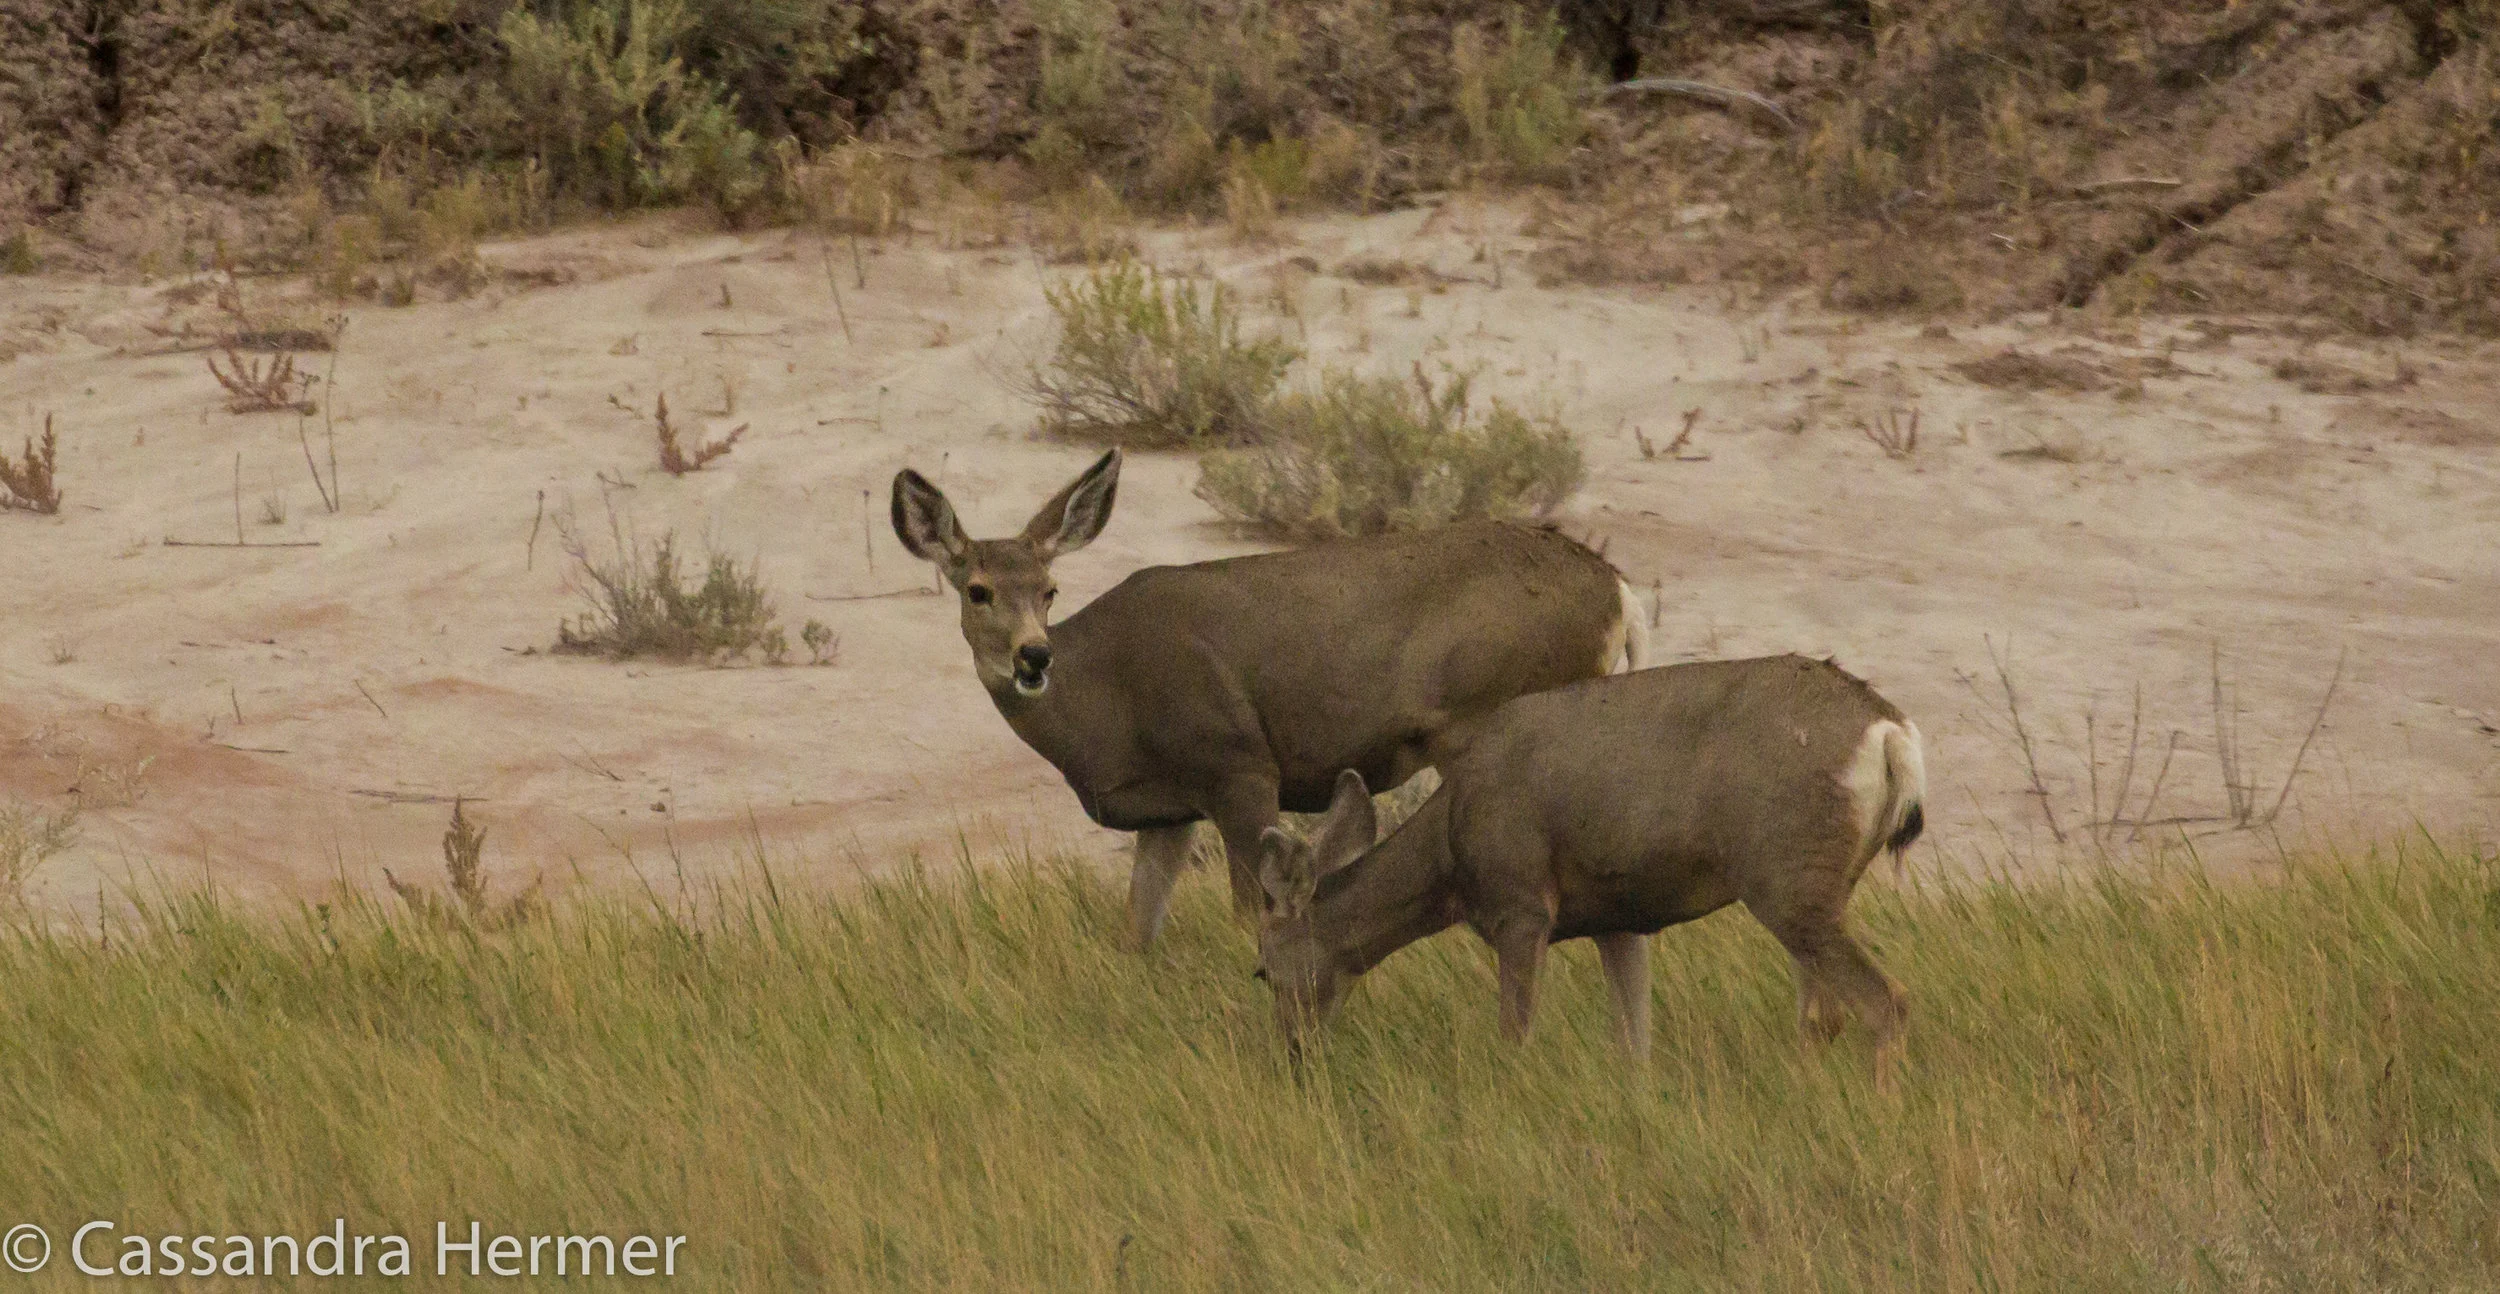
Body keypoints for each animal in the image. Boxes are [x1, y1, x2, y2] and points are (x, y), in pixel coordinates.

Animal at [889, 448, 1648, 950]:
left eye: (1050, 590)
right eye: (977, 589)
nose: (1034, 656)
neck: (1106, 702)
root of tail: (1616, 587)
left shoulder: (1237, 764)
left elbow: (1246, 914)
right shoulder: (1167, 811)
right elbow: (1138, 931)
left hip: (1496, 717)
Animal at [1252, 654, 1926, 1076]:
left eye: (1261, 970)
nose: (1291, 1057)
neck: (1449, 853)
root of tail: (1890, 735)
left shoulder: (1521, 905)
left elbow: (1514, 1037)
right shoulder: (1619, 919)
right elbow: (1633, 1045)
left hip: (1785, 880)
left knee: (1886, 1001)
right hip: (1815, 887)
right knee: (1823, 1016)